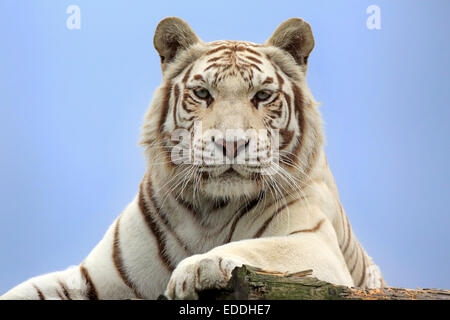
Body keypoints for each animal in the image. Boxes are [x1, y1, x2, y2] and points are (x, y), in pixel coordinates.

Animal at [1, 16, 384, 298]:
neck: (209, 212)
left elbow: (259, 248)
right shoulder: (92, 277)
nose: (231, 143)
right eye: (202, 93)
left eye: (262, 96)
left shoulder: (314, 244)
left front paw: (197, 268)